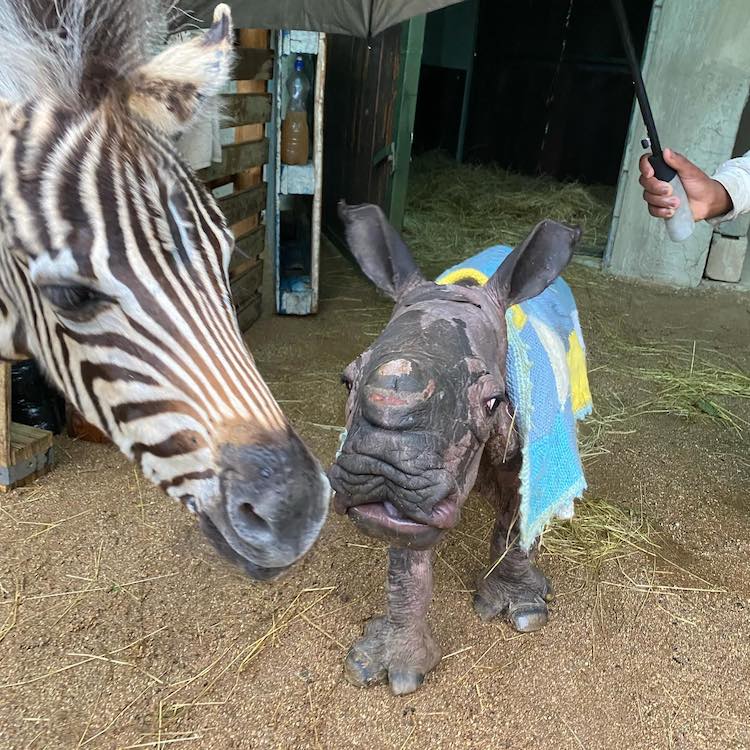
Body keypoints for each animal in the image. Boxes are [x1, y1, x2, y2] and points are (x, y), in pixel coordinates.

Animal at [332, 203, 592, 696]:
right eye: (347, 381)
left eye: (492, 401)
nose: (381, 469)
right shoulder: (414, 500)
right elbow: (406, 563)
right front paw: (392, 665)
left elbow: (517, 521)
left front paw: (523, 609)